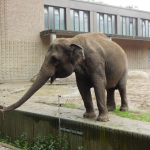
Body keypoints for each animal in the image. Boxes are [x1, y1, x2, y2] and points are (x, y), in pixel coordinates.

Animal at [0, 32, 128, 122]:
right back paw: (110, 109)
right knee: (110, 88)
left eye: (54, 59)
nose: (1, 110)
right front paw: (88, 117)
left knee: (121, 87)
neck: (73, 40)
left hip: (124, 67)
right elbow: (82, 87)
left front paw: (102, 120)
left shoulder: (96, 61)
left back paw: (123, 109)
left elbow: (99, 83)